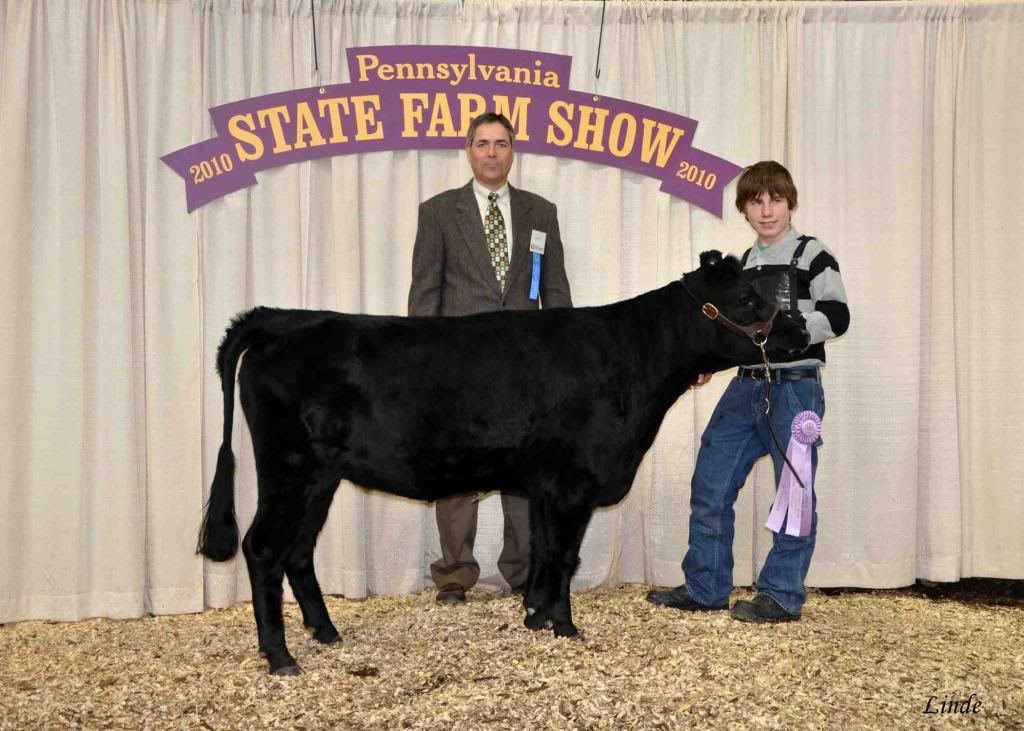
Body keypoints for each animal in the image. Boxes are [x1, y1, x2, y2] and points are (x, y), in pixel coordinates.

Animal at [198, 250, 809, 675]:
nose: (801, 330)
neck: (630, 362)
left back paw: (325, 633)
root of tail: (285, 320)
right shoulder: (572, 481)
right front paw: (564, 626)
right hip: (289, 468)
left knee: (298, 551)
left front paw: (534, 616)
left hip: (320, 477)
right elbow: (565, 555)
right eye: (746, 300)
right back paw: (280, 657)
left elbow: (541, 552)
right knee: (263, 548)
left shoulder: (542, 484)